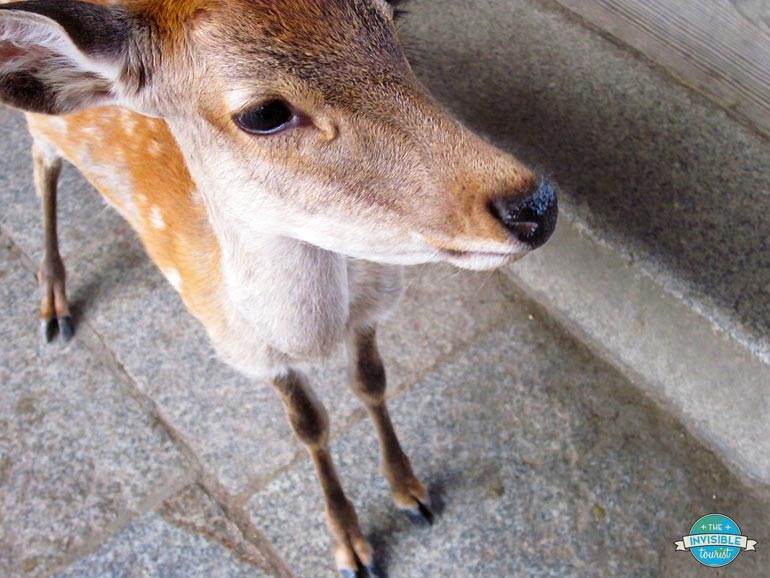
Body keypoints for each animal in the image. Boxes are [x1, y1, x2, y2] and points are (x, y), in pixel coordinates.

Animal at [0, 1, 552, 572]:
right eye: (263, 114)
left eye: (393, 17)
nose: (534, 206)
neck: (313, 333)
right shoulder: (247, 350)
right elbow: (309, 425)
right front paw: (351, 547)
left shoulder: (374, 304)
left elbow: (371, 382)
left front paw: (411, 493)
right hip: (40, 123)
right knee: (41, 164)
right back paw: (53, 304)